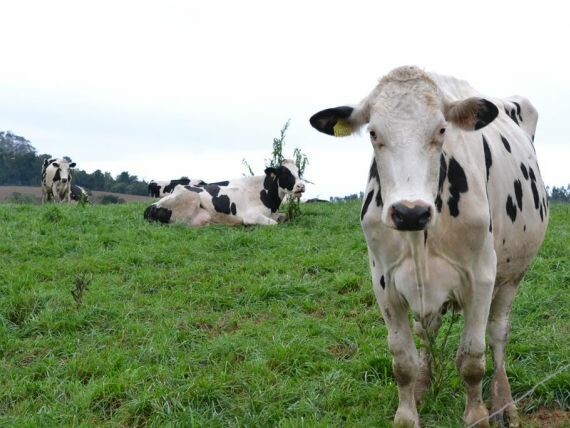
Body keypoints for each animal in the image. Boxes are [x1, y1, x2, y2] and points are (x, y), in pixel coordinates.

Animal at [145, 160, 306, 227]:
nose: (301, 186)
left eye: (298, 172)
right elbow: (274, 224)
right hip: (190, 199)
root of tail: (151, 207)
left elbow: (283, 217)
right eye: (284, 173)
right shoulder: (251, 216)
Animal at [308, 65, 548, 426]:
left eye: (441, 130)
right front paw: (408, 412)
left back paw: (504, 403)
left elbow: (472, 360)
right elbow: (402, 361)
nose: (410, 211)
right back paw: (424, 385)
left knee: (497, 334)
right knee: (427, 331)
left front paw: (477, 415)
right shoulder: (384, 282)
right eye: (373, 133)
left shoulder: (481, 278)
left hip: (512, 275)